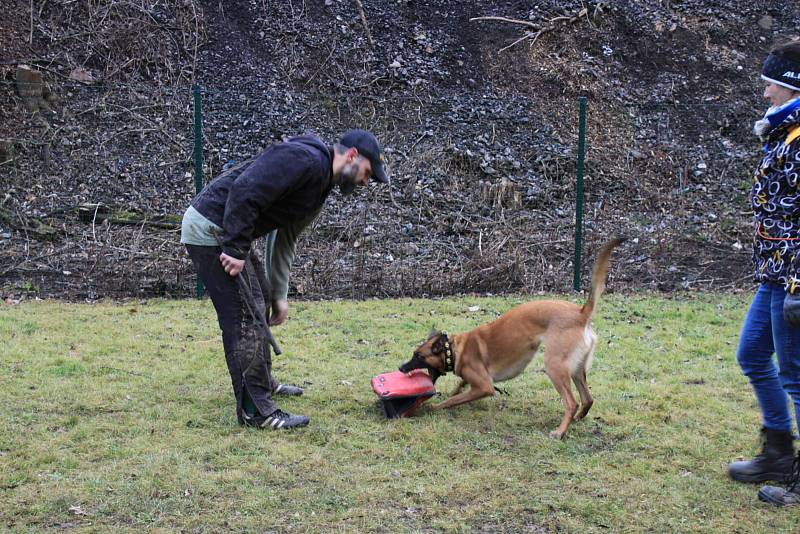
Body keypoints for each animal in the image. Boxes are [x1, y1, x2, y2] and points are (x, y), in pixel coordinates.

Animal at [400, 239, 624, 440]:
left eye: (418, 355)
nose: (401, 368)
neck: (454, 350)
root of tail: (581, 313)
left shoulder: (484, 386)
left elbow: (454, 400)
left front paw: (434, 407)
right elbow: (459, 387)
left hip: (554, 366)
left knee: (572, 402)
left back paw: (560, 432)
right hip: (577, 368)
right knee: (587, 399)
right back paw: (576, 420)